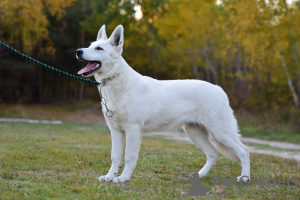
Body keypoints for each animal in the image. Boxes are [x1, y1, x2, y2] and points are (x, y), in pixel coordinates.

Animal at [76, 24, 250, 183]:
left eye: (99, 48)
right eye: (90, 46)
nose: (78, 51)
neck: (117, 83)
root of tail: (220, 90)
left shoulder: (133, 129)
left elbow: (129, 157)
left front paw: (123, 178)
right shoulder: (116, 131)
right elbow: (116, 157)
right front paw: (109, 177)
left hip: (220, 132)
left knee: (244, 151)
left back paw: (245, 177)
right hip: (195, 132)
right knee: (214, 154)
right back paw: (201, 175)